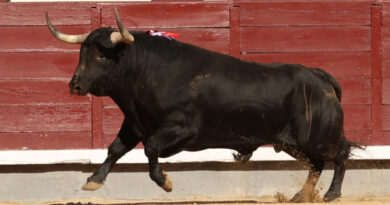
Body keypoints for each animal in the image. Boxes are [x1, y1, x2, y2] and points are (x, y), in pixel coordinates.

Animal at [46, 9, 360, 202]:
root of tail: (319, 76)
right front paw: (93, 180)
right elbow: (115, 149)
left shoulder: (183, 130)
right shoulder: (134, 124)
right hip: (293, 141)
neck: (145, 71)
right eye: (82, 52)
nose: (74, 85)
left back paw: (331, 194)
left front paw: (166, 182)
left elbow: (151, 149)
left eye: (101, 56)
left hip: (317, 137)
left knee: (339, 154)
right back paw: (301, 196)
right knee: (316, 164)